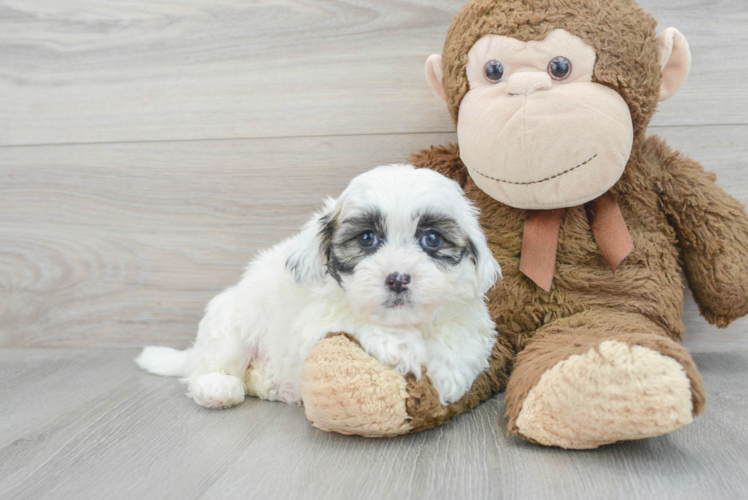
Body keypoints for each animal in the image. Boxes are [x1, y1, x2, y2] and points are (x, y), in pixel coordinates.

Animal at [139, 166, 502, 408]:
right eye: (367, 238)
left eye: (432, 239)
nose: (398, 278)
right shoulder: (314, 323)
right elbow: (354, 319)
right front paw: (402, 345)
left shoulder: (469, 318)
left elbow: (463, 342)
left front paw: (446, 376)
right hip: (233, 318)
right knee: (213, 364)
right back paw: (218, 387)